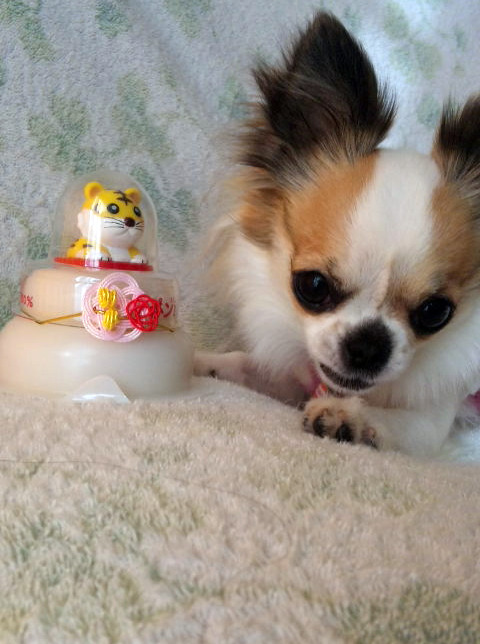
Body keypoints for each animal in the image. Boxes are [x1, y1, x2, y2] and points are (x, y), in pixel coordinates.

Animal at [195, 11, 480, 456]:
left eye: (436, 312)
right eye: (312, 286)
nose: (367, 345)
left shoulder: (430, 421)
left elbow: (395, 421)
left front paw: (348, 416)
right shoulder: (291, 378)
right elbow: (242, 364)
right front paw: (196, 361)